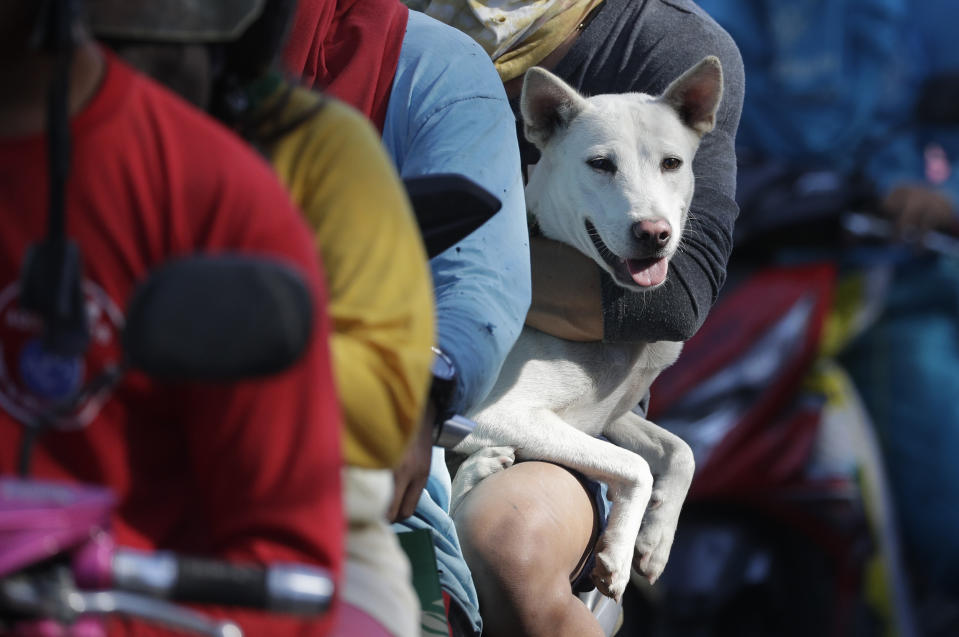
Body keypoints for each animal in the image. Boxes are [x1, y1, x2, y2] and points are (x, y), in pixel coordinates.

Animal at [454, 56, 724, 600]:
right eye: (600, 164)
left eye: (672, 164)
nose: (654, 234)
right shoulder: (502, 412)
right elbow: (636, 467)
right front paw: (617, 552)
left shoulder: (607, 414)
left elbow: (680, 450)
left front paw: (655, 541)